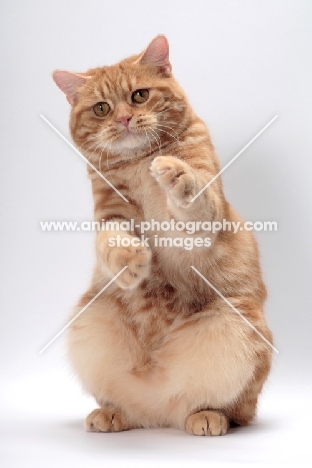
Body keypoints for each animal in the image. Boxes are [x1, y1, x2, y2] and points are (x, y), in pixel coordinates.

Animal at [52, 35, 272, 436]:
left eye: (139, 96)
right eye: (102, 108)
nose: (124, 118)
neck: (138, 163)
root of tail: (159, 409)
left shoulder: (203, 217)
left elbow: (194, 194)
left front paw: (174, 170)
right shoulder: (111, 216)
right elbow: (110, 240)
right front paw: (130, 262)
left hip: (239, 323)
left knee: (232, 409)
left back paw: (207, 415)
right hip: (90, 316)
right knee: (127, 408)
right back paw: (112, 412)